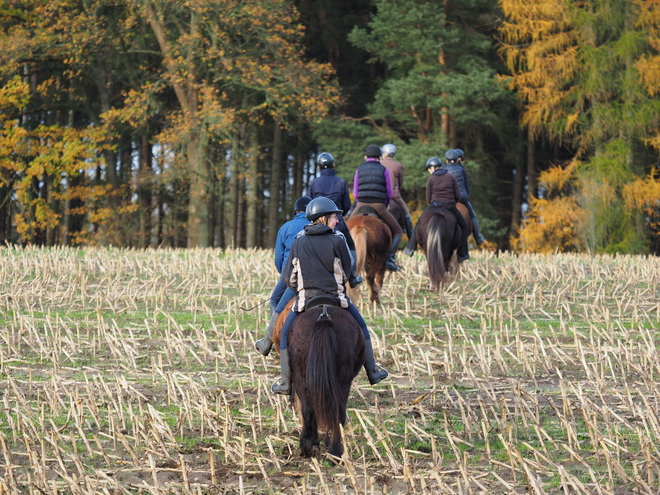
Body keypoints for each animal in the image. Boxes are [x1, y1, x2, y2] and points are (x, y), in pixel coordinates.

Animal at [270, 302, 364, 462]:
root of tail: (324, 317)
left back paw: (308, 446)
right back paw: (334, 450)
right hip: (342, 378)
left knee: (308, 410)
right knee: (336, 412)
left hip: (301, 377)